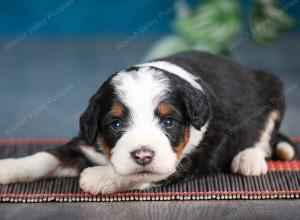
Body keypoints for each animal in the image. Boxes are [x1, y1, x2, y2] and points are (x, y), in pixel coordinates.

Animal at [0, 50, 296, 194]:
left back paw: (248, 160)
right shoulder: (83, 143)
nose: (143, 155)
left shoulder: (190, 160)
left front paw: (98, 177)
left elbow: (145, 176)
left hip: (274, 91)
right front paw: (7, 168)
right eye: (116, 124)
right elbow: (43, 158)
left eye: (169, 122)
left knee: (263, 139)